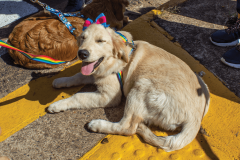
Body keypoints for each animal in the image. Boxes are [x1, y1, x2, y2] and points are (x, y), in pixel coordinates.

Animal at [47, 23, 209, 151]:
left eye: (100, 41)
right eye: (82, 38)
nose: (82, 53)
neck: (113, 59)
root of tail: (195, 119)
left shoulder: (109, 96)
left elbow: (79, 96)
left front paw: (57, 104)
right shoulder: (94, 72)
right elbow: (77, 76)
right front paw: (60, 81)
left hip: (141, 86)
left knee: (127, 127)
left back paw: (97, 124)